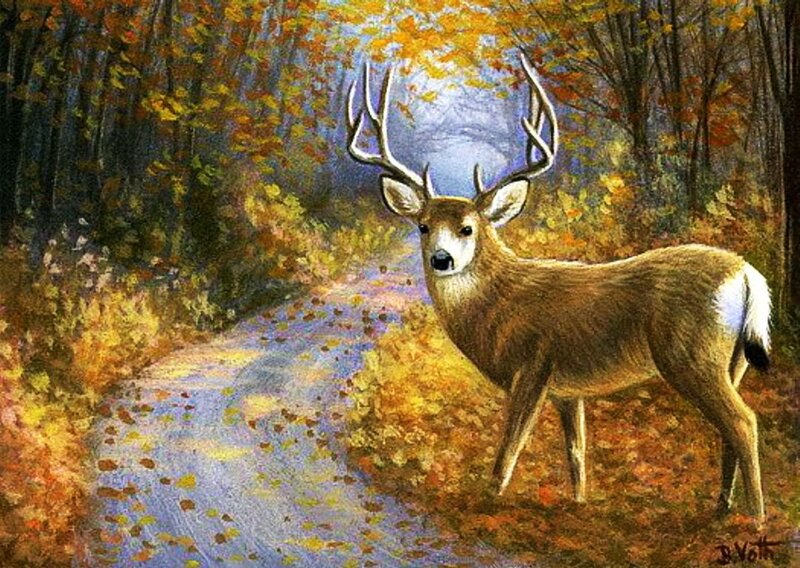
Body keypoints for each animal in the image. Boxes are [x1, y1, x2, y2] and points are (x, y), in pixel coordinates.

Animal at [344, 54, 772, 525]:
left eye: (467, 228)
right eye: (422, 226)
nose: (442, 259)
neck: (498, 305)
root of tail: (747, 274)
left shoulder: (533, 364)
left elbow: (509, 448)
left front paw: (489, 501)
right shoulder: (570, 390)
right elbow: (577, 453)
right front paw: (580, 503)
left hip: (692, 354)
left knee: (744, 421)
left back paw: (756, 518)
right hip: (734, 359)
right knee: (730, 425)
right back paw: (721, 508)